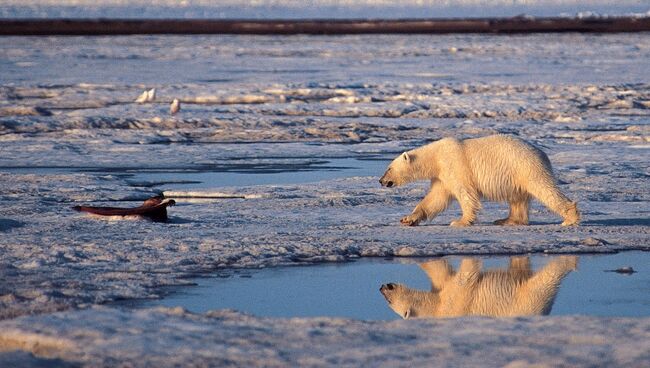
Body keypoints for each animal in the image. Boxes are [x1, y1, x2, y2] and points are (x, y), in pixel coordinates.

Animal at [378, 135, 580, 227]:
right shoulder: (442, 176)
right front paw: (408, 218)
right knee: (518, 198)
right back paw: (507, 220)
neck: (435, 157)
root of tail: (542, 153)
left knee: (544, 189)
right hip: (517, 175)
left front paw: (460, 222)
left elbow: (465, 194)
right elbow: (435, 198)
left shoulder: (455, 166)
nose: (381, 181)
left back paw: (569, 218)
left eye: (388, 168)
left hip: (526, 167)